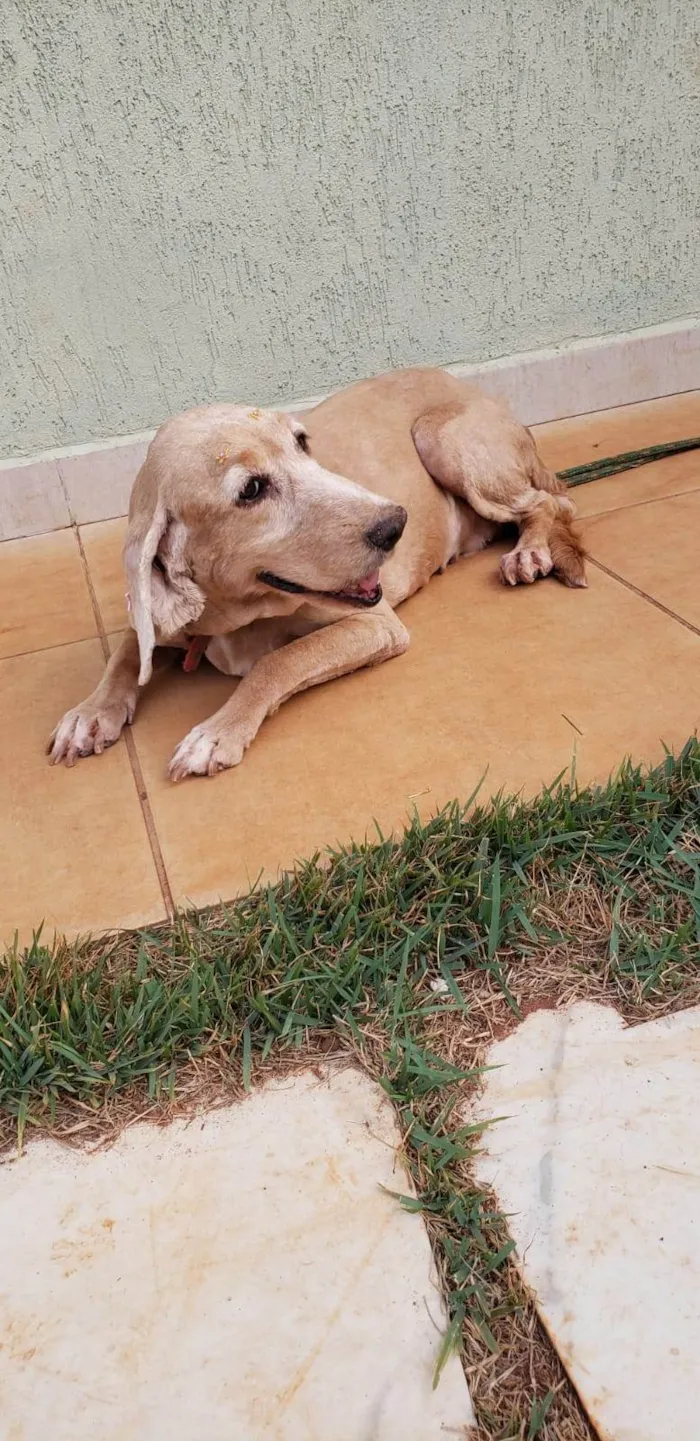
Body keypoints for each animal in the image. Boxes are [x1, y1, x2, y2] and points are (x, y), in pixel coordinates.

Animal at [47, 366, 584, 783]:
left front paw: (217, 732)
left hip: (442, 440)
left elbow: (277, 661)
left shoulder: (377, 624)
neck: (228, 618)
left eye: (302, 443)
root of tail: (481, 392)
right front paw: (90, 714)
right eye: (251, 489)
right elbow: (124, 654)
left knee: (550, 503)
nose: (396, 524)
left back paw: (529, 551)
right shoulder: (155, 619)